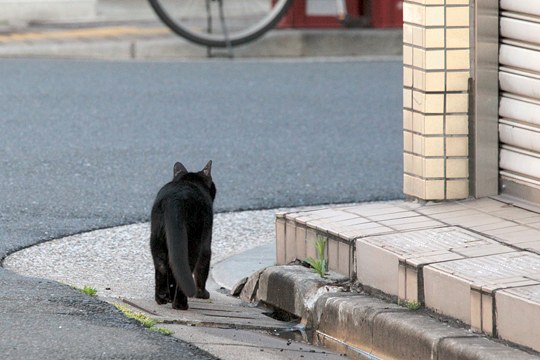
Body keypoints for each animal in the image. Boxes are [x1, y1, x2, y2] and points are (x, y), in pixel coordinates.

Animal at [149, 160, 216, 310]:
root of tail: (175, 199)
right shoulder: (206, 243)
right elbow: (203, 268)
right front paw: (202, 294)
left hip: (157, 239)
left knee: (163, 267)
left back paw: (162, 298)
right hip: (193, 244)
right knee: (186, 269)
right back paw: (180, 304)